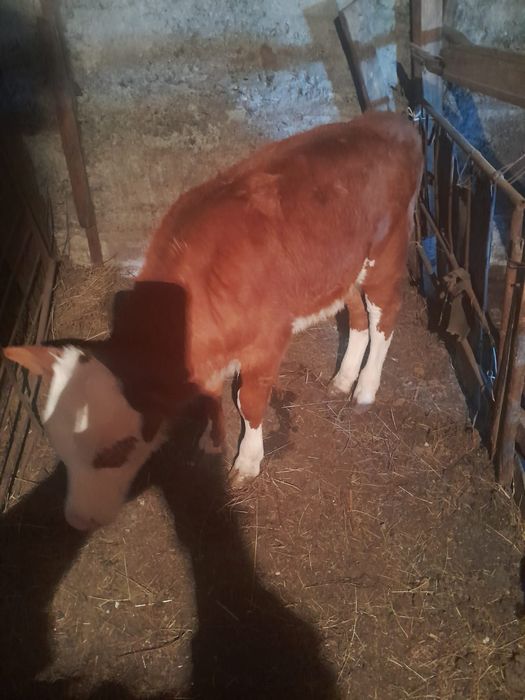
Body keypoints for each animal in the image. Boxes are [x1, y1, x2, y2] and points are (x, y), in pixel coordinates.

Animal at [3, 111, 423, 531]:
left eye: (116, 450)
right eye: (60, 450)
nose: (76, 520)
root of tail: (390, 120)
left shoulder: (267, 341)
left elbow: (247, 401)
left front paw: (247, 461)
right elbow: (210, 395)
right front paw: (212, 440)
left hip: (385, 254)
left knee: (383, 318)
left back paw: (365, 389)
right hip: (341, 266)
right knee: (356, 316)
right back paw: (342, 378)